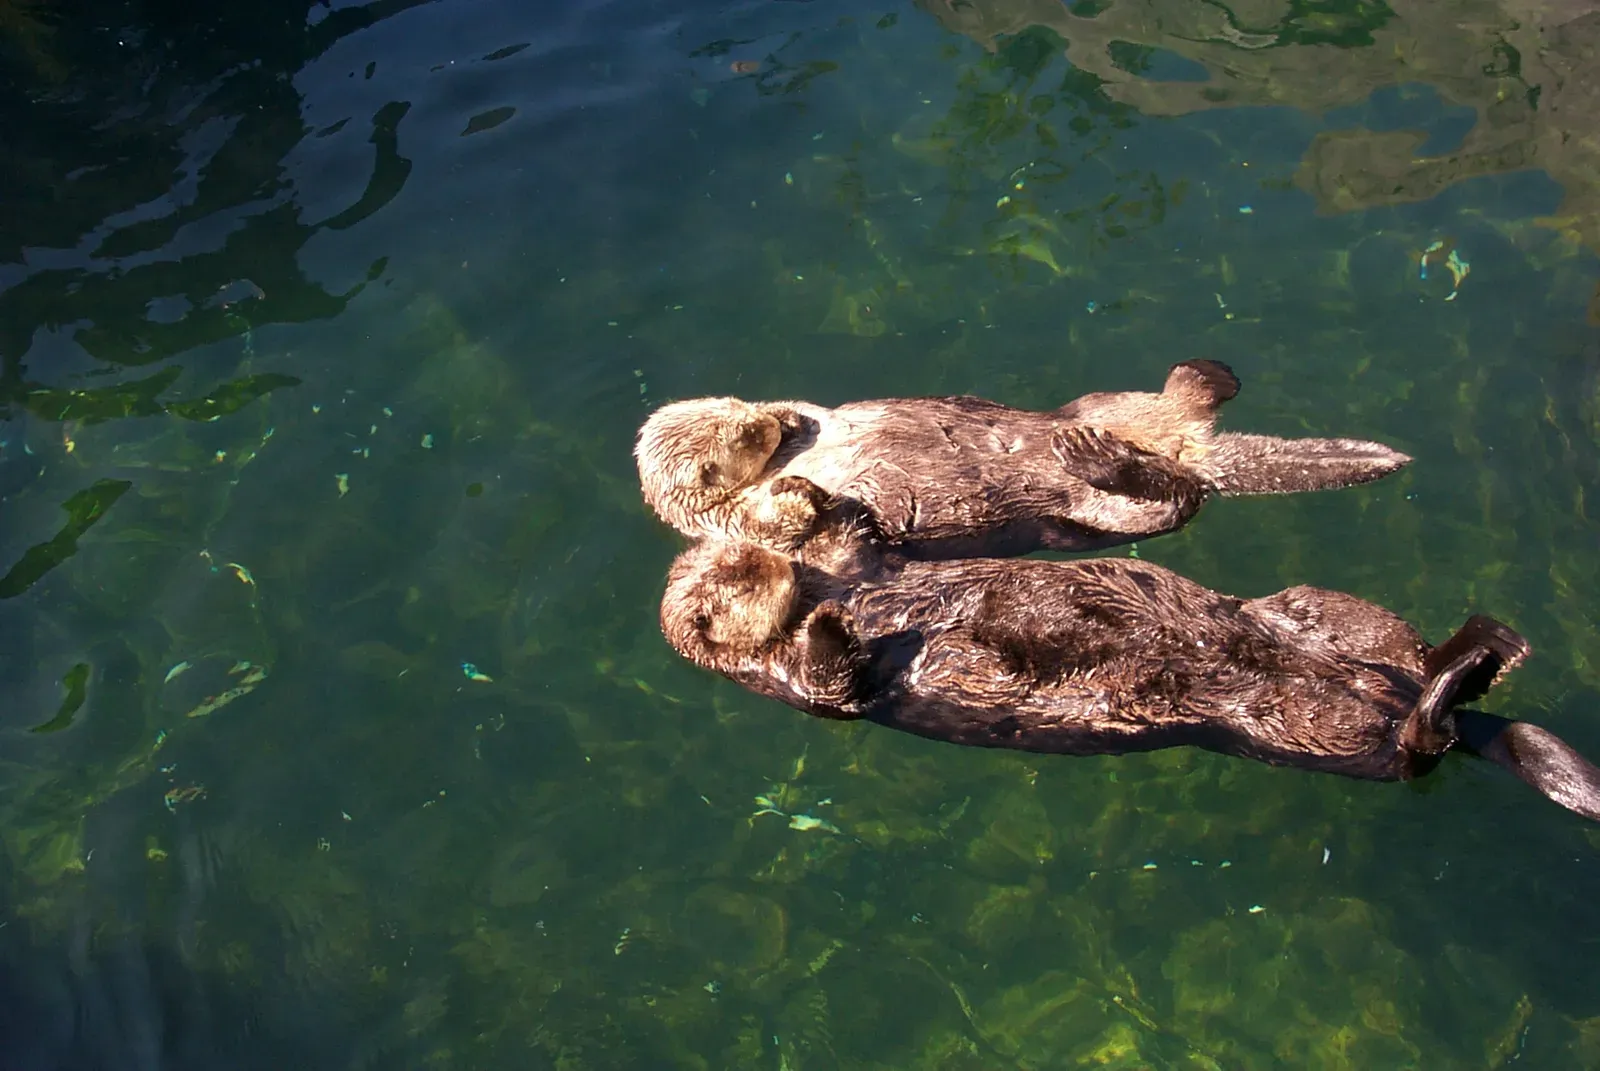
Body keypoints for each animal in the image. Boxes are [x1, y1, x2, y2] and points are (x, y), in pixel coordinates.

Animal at [634, 360, 1412, 559]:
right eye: (742, 442)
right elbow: (792, 529)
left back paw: (1206, 375)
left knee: (1182, 401)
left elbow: (805, 407)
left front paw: (792, 415)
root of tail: (1192, 449)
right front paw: (801, 492)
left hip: (1099, 398)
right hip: (1101, 513)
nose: (765, 423)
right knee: (1167, 496)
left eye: (743, 416)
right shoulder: (736, 527)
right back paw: (1097, 456)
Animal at [659, 539, 1600, 823]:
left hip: (1325, 616)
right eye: (733, 582)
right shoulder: (797, 680)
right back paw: (1467, 674)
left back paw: (1486, 645)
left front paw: (822, 513)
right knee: (1414, 747)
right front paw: (833, 624)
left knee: (1397, 647)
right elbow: (834, 682)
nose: (769, 559)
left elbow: (859, 547)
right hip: (1290, 720)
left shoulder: (861, 566)